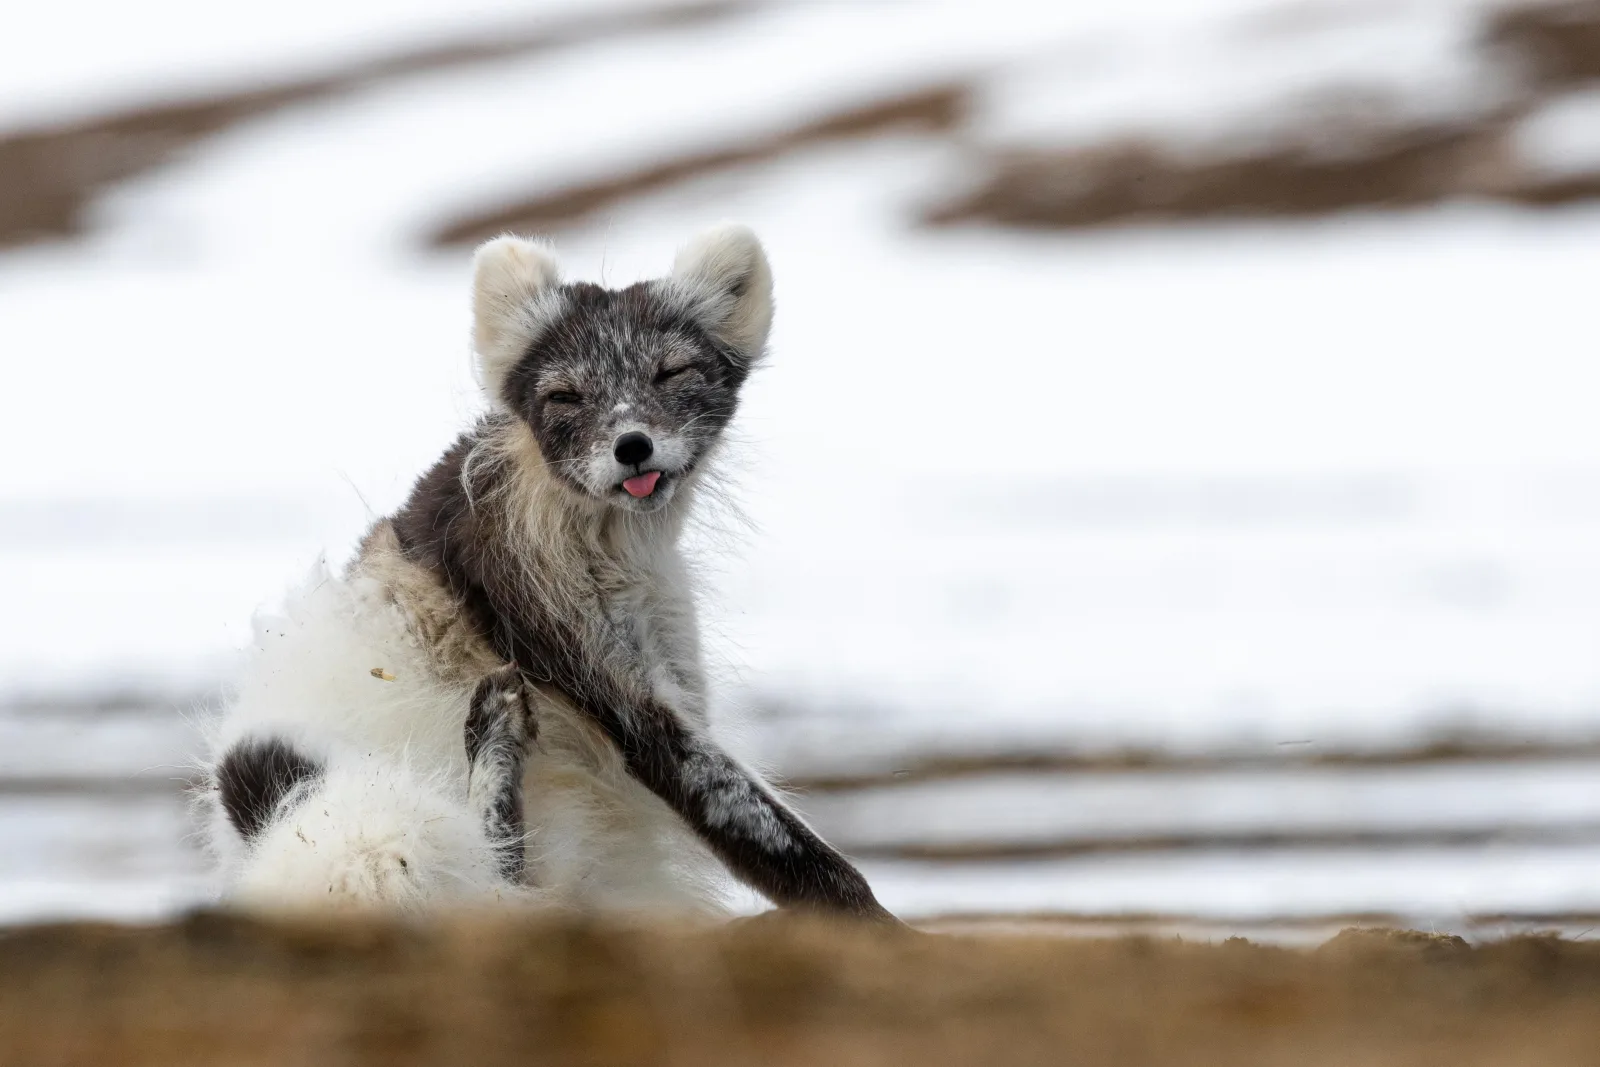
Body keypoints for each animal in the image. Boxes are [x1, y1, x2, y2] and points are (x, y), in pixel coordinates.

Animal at [201, 224, 892, 922]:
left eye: (672, 372)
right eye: (565, 395)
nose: (632, 446)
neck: (614, 545)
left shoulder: (667, 650)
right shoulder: (573, 646)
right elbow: (771, 834)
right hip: (341, 809)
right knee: (477, 865)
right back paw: (496, 728)